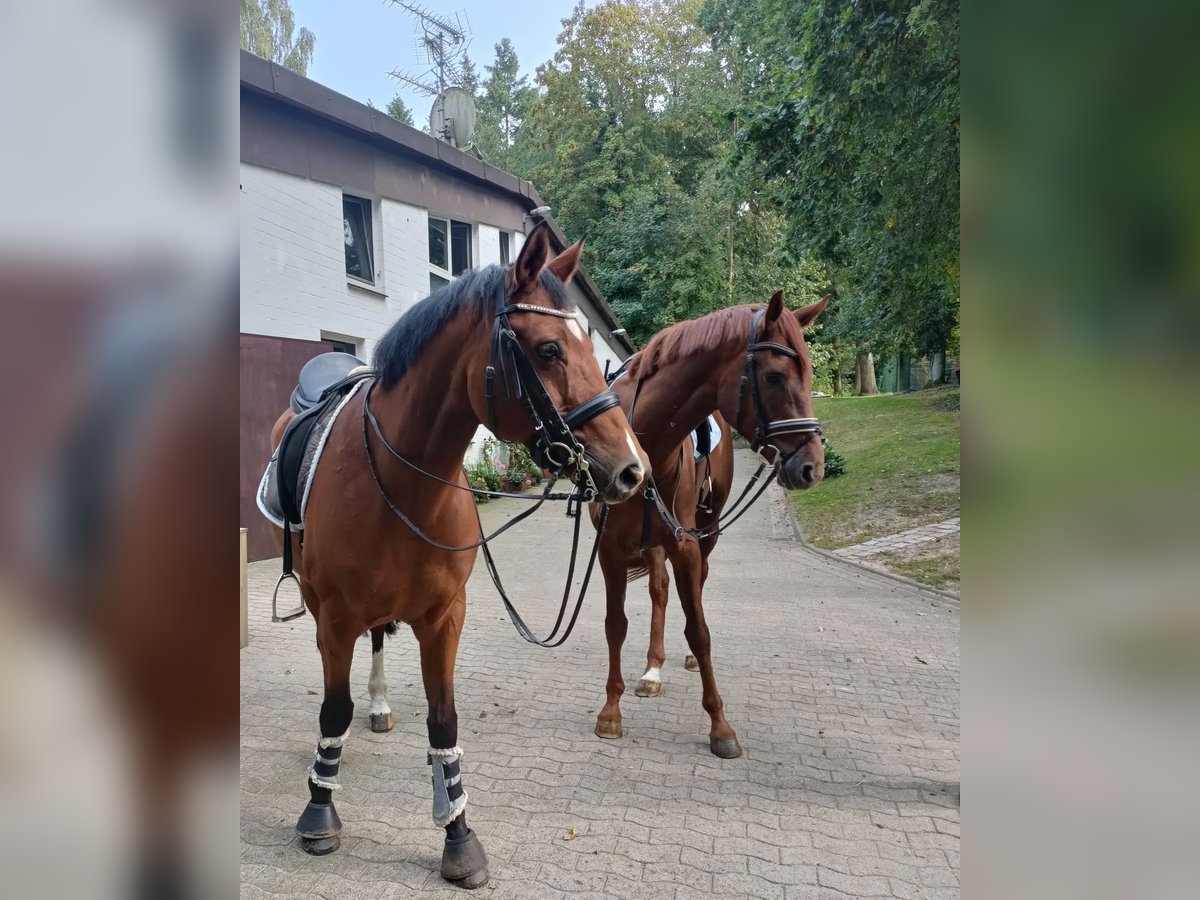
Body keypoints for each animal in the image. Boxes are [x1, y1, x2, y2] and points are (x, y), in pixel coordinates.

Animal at [268, 224, 652, 888]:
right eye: (549, 350)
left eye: (590, 347)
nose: (631, 469)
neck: (400, 480)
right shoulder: (337, 616)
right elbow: (333, 710)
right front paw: (319, 809)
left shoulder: (445, 617)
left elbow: (443, 721)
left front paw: (458, 834)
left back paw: (380, 705)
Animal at [588, 292, 825, 758]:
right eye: (774, 377)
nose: (813, 467)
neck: (644, 444)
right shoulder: (610, 548)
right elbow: (615, 625)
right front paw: (610, 711)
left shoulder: (686, 544)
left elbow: (699, 630)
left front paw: (720, 725)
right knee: (660, 592)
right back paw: (652, 670)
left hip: (707, 531)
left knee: (694, 588)